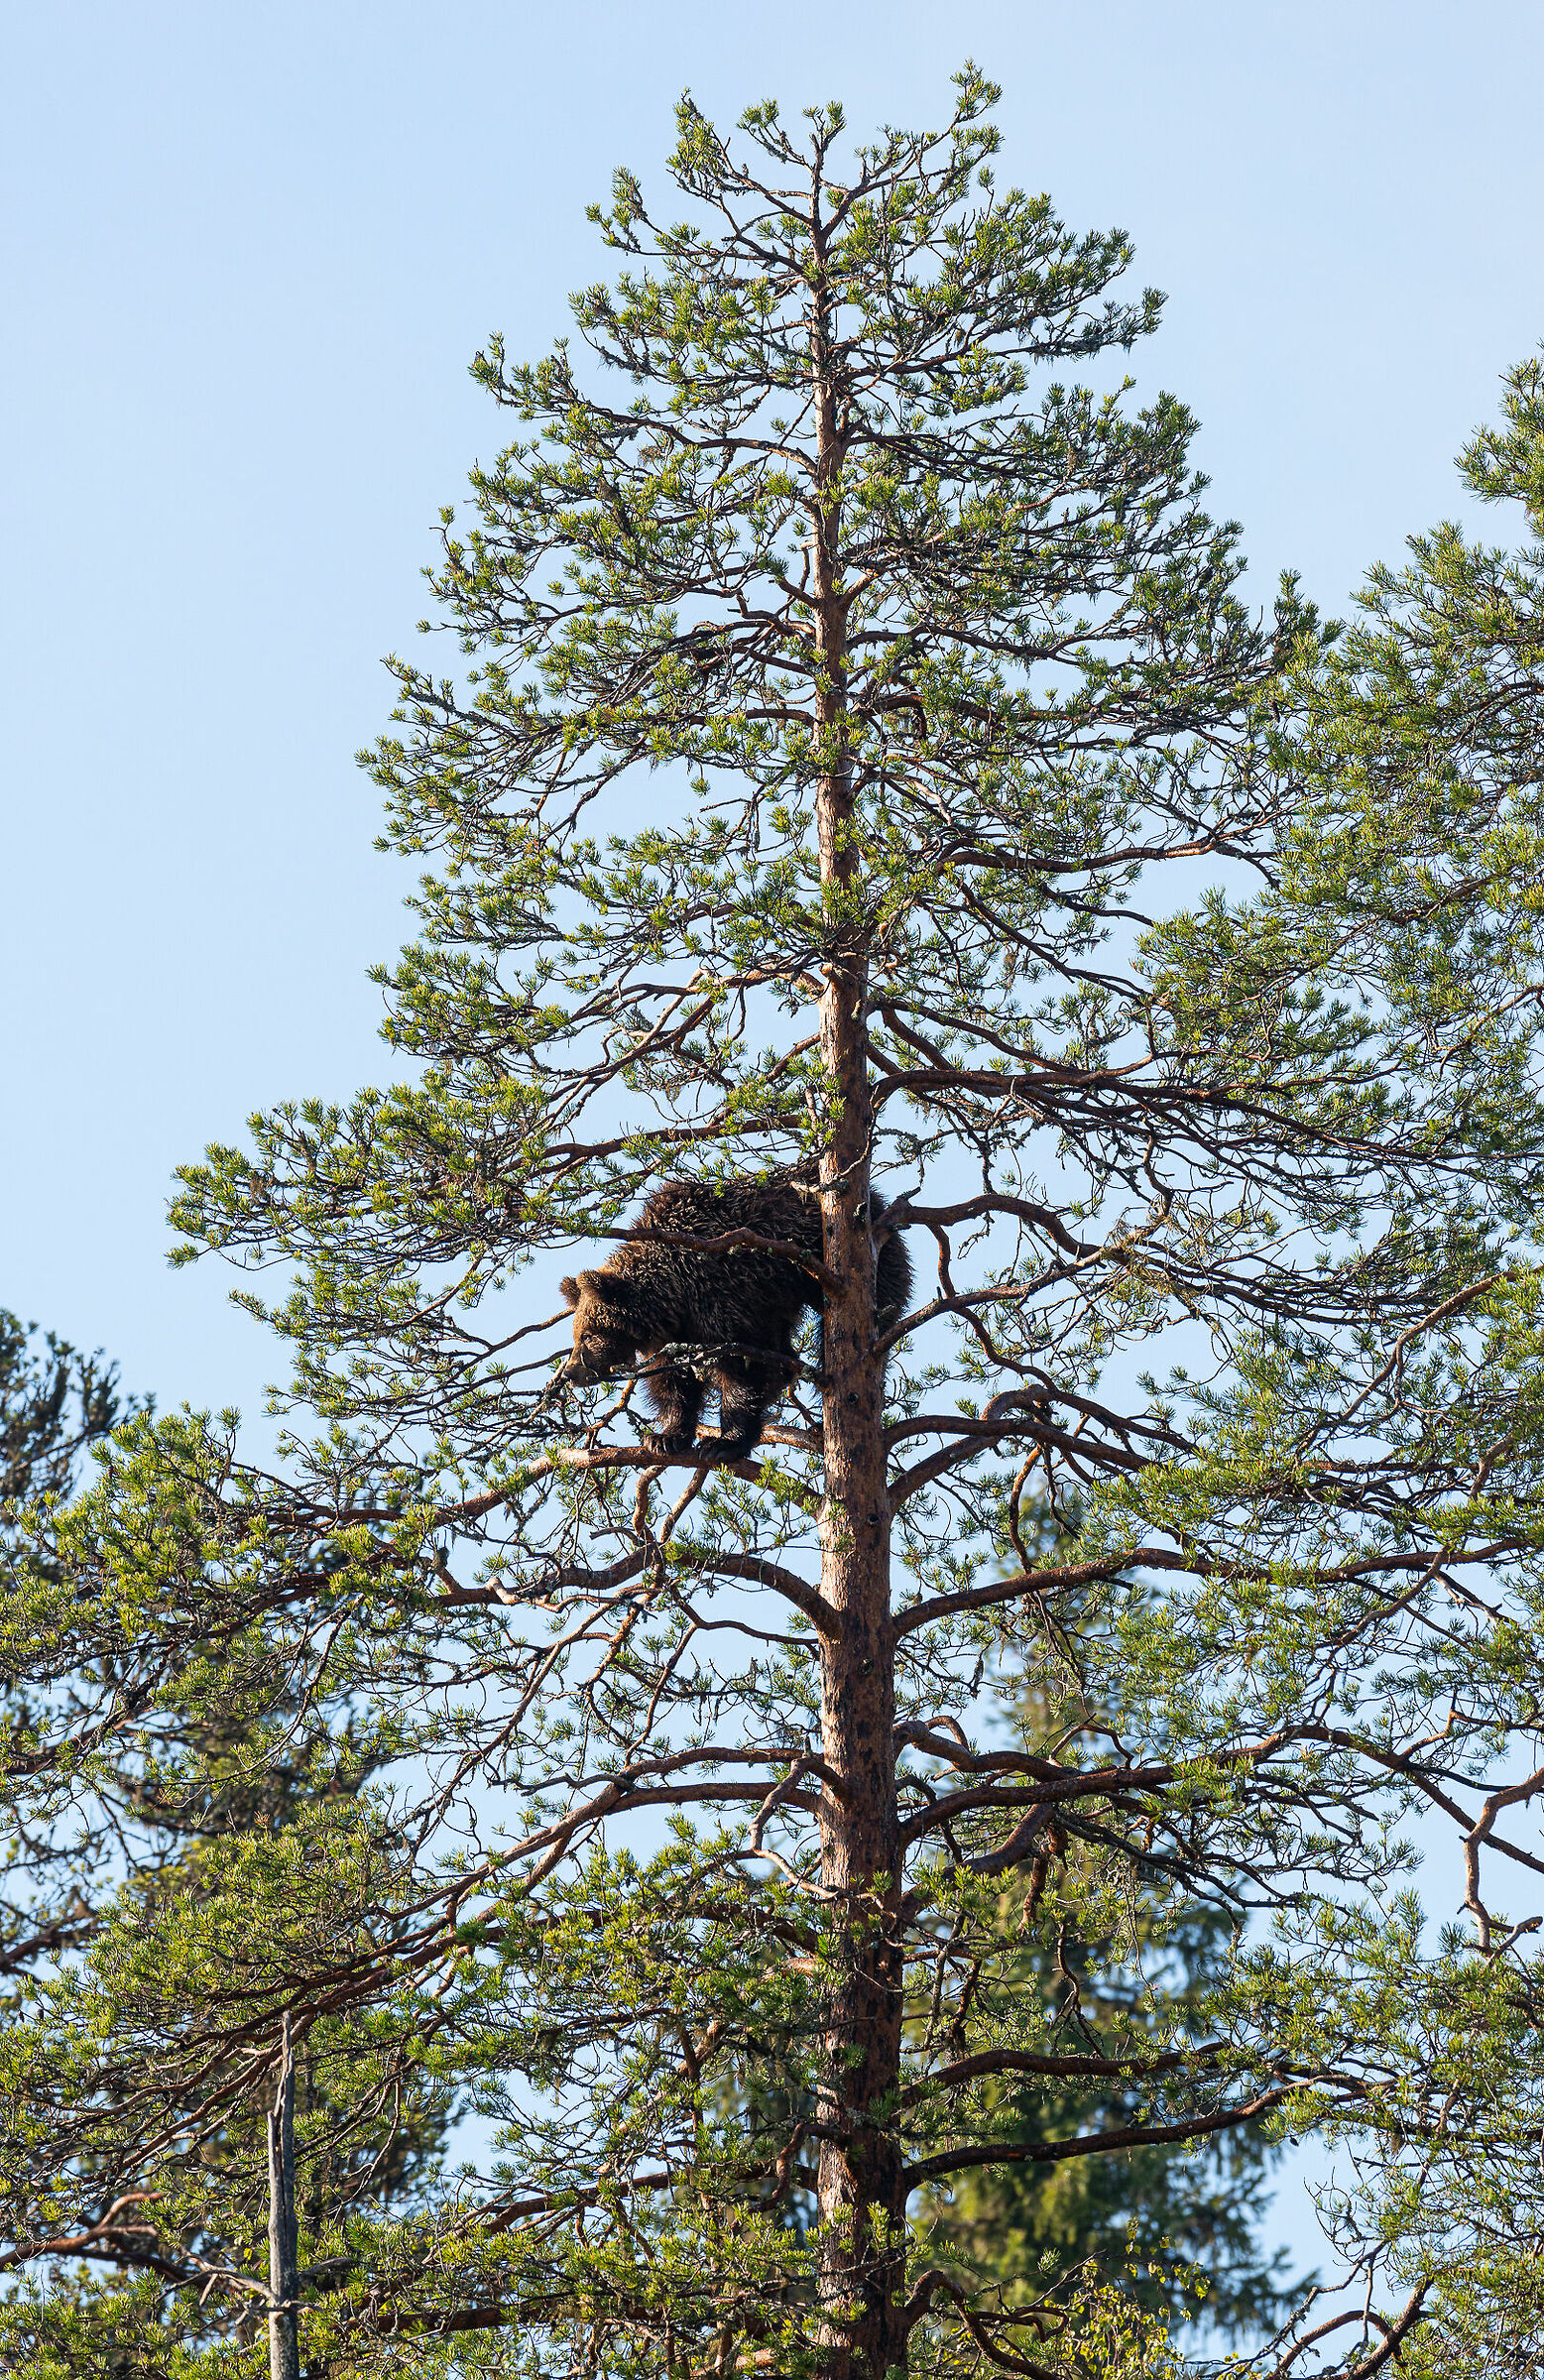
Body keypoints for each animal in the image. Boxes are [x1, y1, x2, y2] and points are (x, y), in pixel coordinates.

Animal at [559, 1170, 912, 1460]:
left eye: (588, 1334)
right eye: (576, 1334)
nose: (571, 1372)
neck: (674, 1290)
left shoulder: (724, 1296)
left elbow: (743, 1366)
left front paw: (724, 1442)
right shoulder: (679, 1332)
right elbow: (674, 1381)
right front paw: (666, 1436)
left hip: (852, 1261)